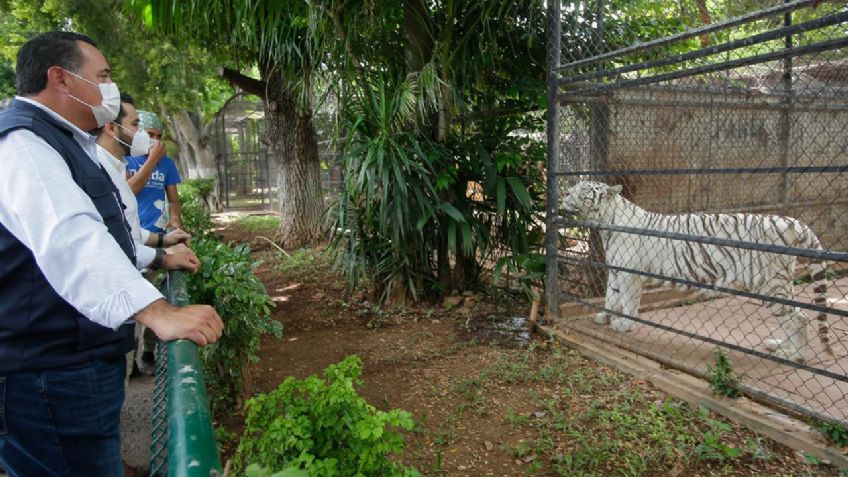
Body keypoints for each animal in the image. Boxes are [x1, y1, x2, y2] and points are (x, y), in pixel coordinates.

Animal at [564, 180, 836, 362]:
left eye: (584, 190)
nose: (565, 191)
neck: (605, 224)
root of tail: (790, 222)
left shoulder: (630, 274)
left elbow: (628, 302)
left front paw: (623, 325)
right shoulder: (616, 271)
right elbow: (611, 297)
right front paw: (603, 317)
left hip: (769, 283)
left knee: (798, 317)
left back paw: (794, 356)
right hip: (780, 282)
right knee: (795, 315)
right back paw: (781, 347)